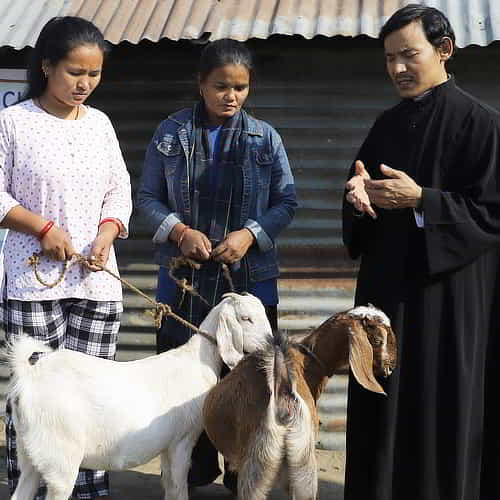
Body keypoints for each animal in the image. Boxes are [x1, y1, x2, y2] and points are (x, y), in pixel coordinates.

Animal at [4, 292, 274, 500]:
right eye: (246, 318)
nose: (272, 345)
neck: (198, 360)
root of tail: (30, 377)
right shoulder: (182, 439)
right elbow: (178, 486)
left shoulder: (168, 445)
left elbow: (170, 485)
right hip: (60, 456)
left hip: (30, 453)